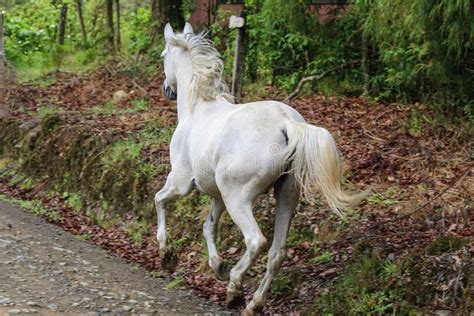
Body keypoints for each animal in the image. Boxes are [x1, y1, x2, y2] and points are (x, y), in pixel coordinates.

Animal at [156, 21, 366, 314]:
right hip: (286, 195)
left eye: (163, 56)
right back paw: (253, 303)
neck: (198, 108)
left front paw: (166, 254)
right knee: (277, 252)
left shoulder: (181, 183)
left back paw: (235, 289)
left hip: (238, 198)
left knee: (256, 241)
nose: (167, 89)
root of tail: (286, 123)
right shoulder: (217, 196)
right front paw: (218, 267)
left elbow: (160, 200)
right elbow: (209, 227)